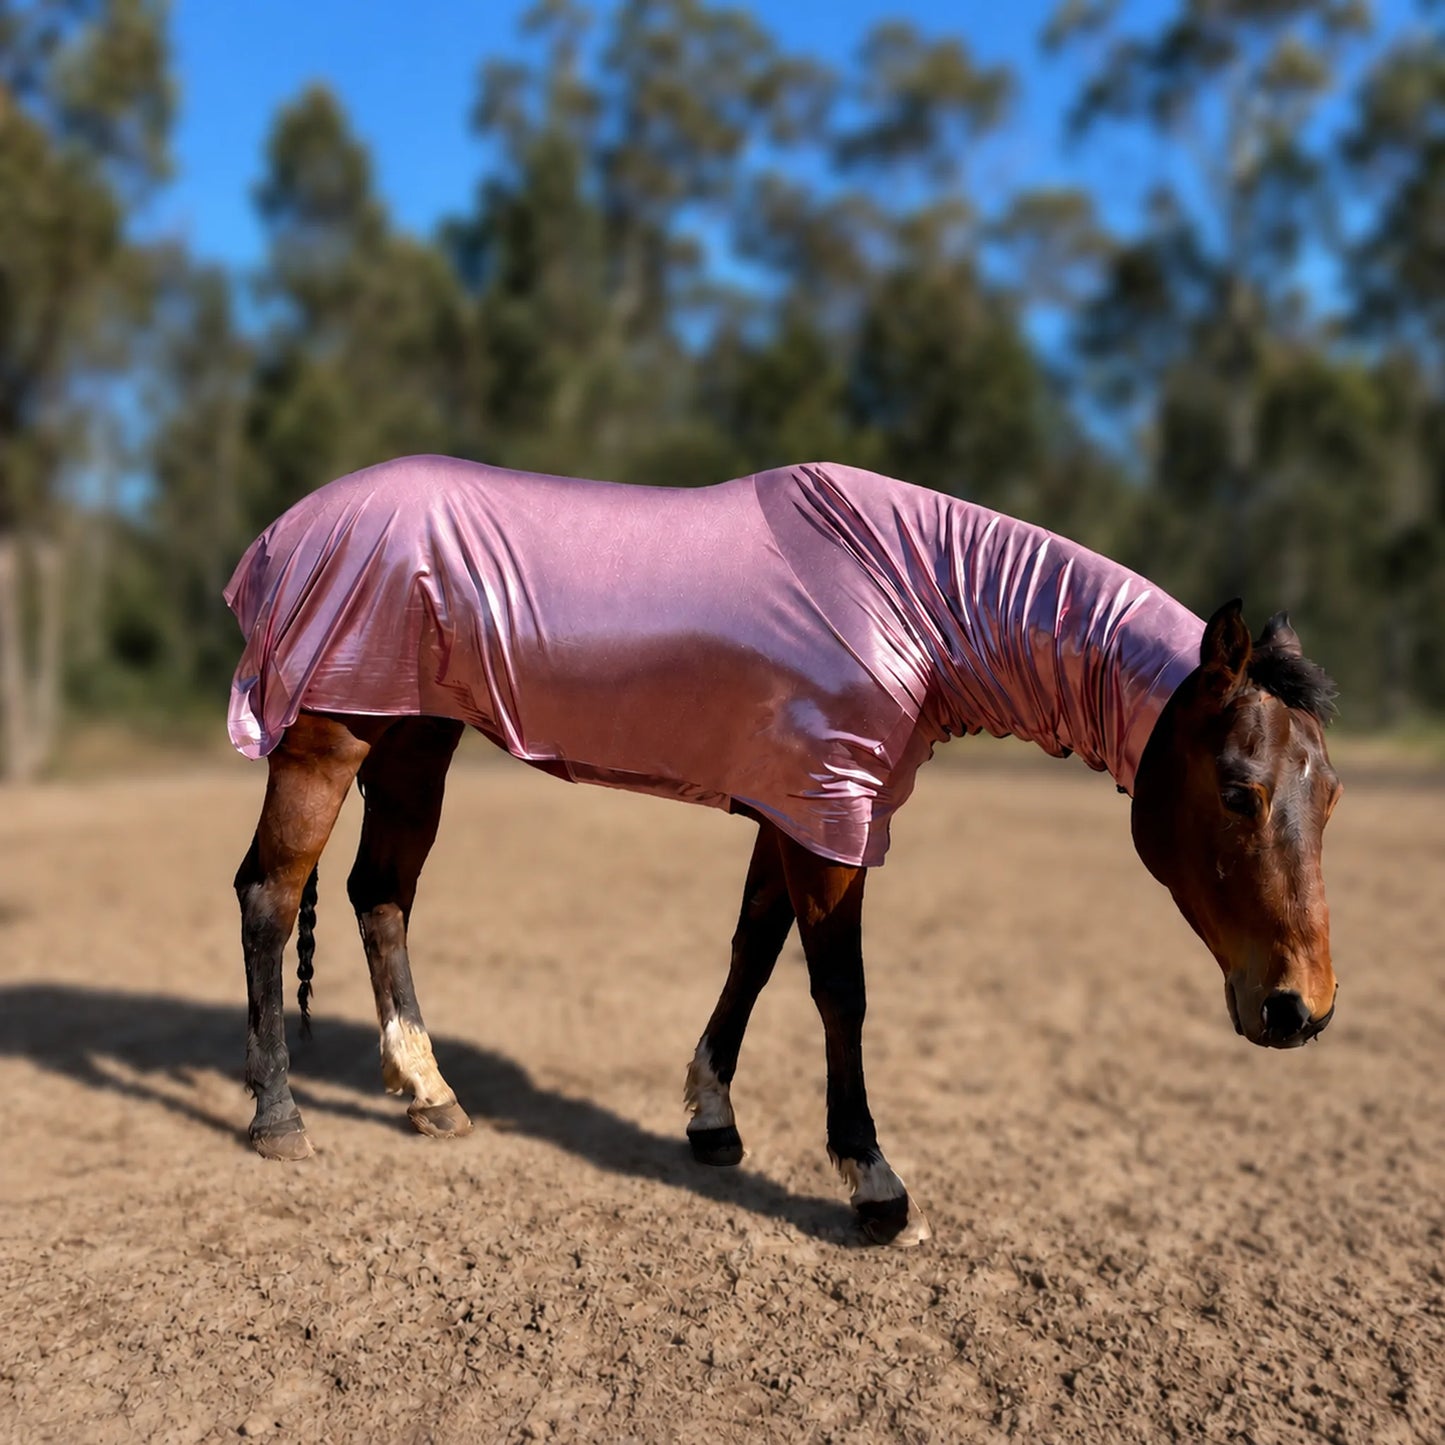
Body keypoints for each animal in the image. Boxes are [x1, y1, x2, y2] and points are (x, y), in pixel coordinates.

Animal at [227, 457, 1341, 1246]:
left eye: (1327, 793)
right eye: (1237, 791)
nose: (1301, 1009)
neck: (908, 598)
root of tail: (286, 533)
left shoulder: (794, 811)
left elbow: (753, 951)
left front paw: (713, 1120)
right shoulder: (833, 813)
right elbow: (839, 991)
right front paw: (875, 1184)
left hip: (413, 740)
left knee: (380, 895)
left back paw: (429, 1095)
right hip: (327, 741)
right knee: (270, 896)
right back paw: (278, 1117)